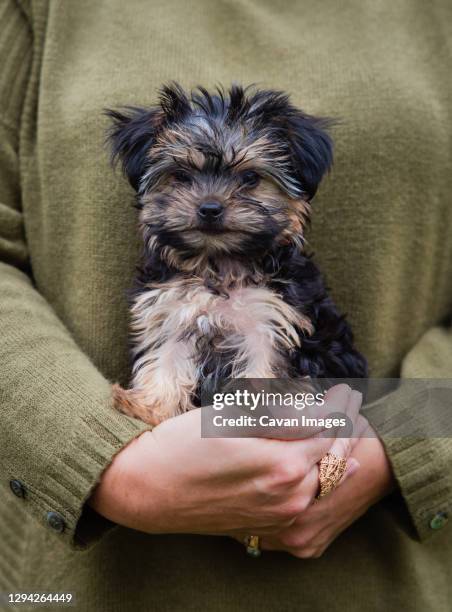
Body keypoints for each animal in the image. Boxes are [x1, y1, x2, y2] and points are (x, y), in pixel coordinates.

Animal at [106, 82, 368, 426]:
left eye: (251, 178)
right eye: (180, 176)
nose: (210, 208)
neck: (220, 265)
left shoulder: (270, 322)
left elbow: (265, 370)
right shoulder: (173, 313)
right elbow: (166, 361)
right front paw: (152, 407)